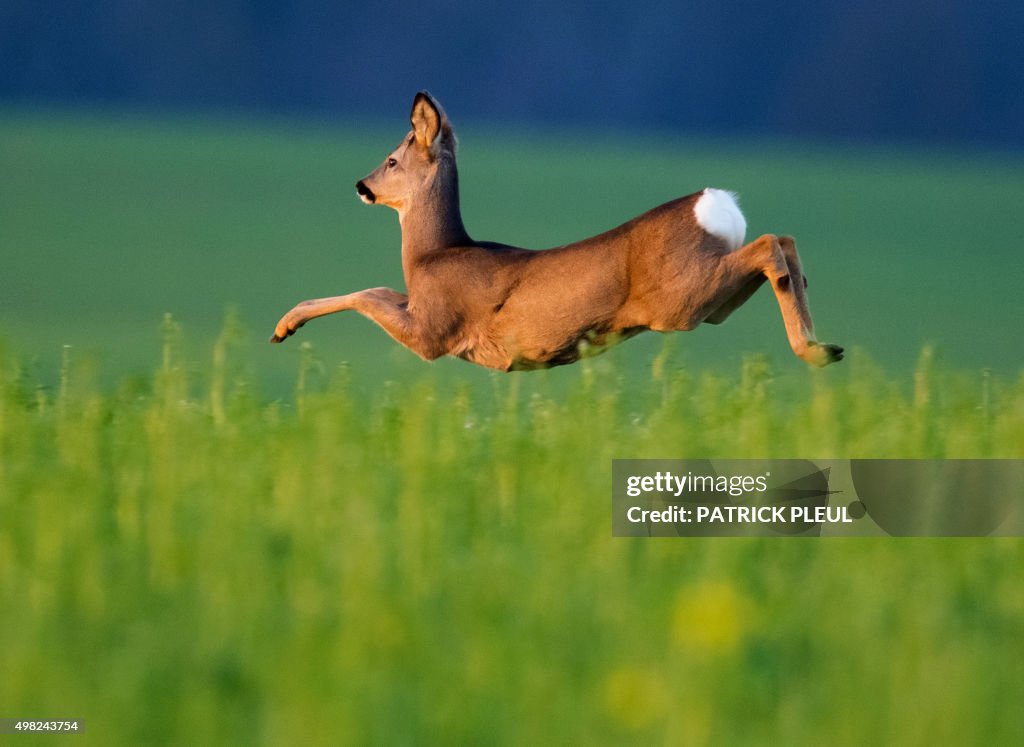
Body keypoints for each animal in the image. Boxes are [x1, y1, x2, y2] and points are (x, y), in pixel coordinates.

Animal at [268, 91, 843, 370]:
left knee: (769, 244)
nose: (361, 185)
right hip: (710, 301)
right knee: (783, 241)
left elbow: (370, 292)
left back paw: (813, 350)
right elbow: (380, 288)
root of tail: (716, 204)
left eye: (391, 159)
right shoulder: (423, 311)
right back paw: (826, 346)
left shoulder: (434, 332)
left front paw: (284, 326)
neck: (435, 254)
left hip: (678, 298)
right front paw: (285, 325)